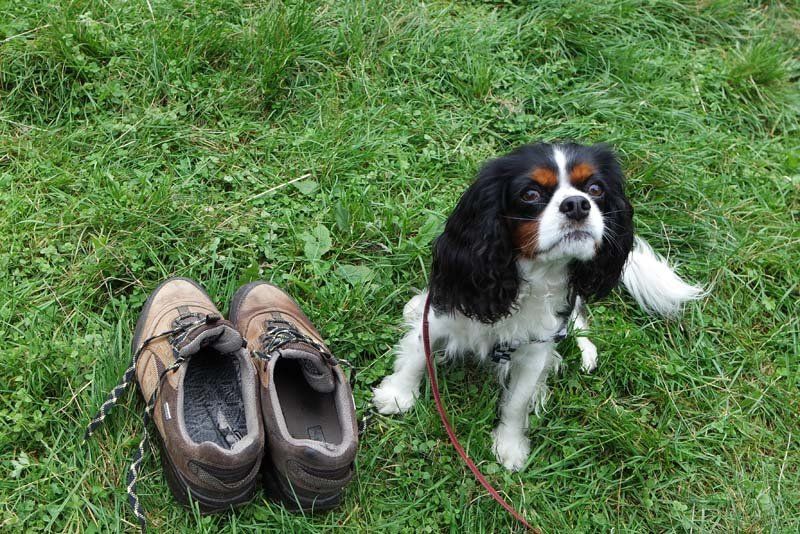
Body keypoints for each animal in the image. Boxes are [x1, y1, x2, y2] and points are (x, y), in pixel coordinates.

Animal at [373, 142, 703, 471]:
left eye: (595, 189)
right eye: (530, 194)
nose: (577, 204)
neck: (532, 276)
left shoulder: (534, 351)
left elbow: (517, 402)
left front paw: (510, 445)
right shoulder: (443, 314)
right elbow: (418, 353)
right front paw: (398, 394)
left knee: (576, 314)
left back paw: (585, 351)